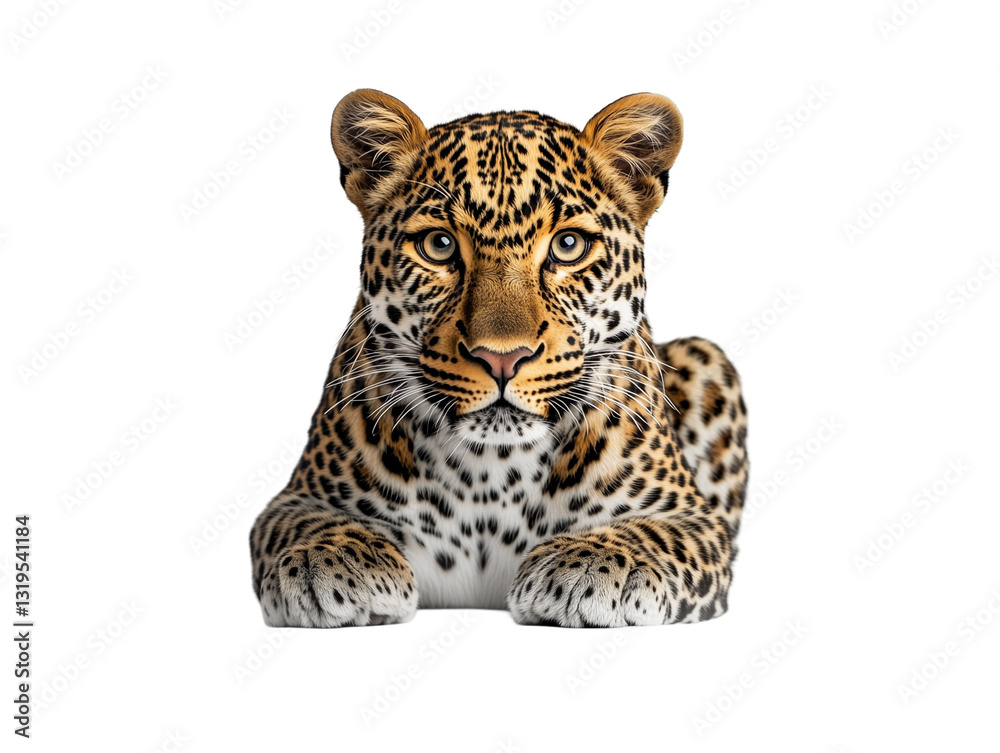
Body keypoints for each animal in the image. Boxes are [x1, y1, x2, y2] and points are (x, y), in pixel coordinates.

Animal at [248, 89, 749, 628]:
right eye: (439, 245)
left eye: (569, 245)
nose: (502, 359)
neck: (492, 475)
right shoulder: (294, 500)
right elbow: (309, 527)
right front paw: (329, 563)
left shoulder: (694, 518)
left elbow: (651, 536)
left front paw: (590, 566)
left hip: (707, 359)